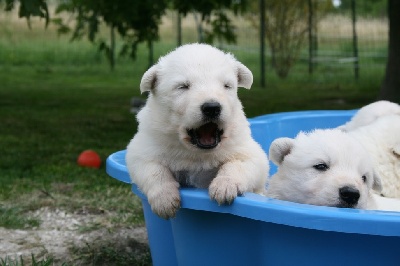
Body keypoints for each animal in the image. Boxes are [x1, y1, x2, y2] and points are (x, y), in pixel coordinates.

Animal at [125, 43, 268, 218]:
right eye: (183, 86)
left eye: (226, 85)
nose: (212, 107)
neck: (197, 154)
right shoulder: (146, 145)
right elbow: (152, 168)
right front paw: (165, 200)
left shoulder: (246, 149)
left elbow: (239, 163)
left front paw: (224, 187)